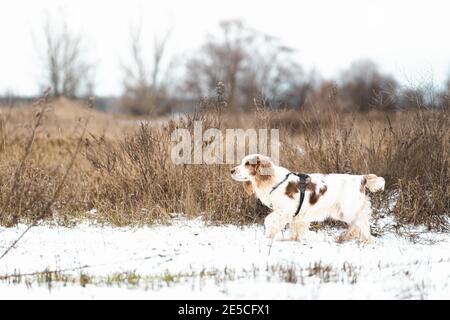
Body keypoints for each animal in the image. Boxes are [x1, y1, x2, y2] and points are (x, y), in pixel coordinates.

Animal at [232, 154, 384, 242]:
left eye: (247, 163)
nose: (231, 170)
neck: (274, 180)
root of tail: (361, 178)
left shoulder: (285, 209)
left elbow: (269, 220)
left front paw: (269, 235)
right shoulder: (297, 214)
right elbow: (295, 229)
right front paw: (292, 239)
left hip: (349, 209)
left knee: (361, 223)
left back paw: (365, 240)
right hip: (342, 212)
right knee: (355, 225)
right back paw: (344, 237)